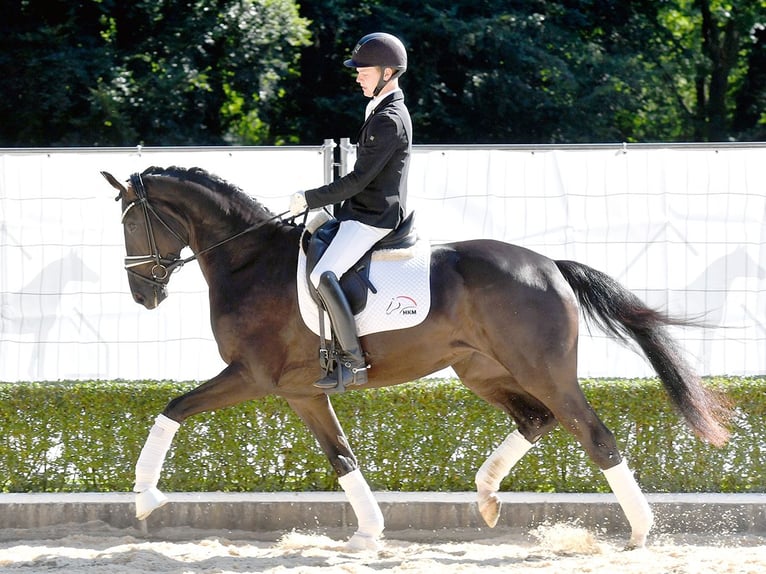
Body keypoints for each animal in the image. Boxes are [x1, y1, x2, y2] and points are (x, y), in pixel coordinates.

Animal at [102, 166, 732, 552]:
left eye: (131, 221)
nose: (141, 294)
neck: (248, 260)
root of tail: (548, 264)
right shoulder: (301, 392)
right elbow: (342, 457)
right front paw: (368, 534)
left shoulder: (252, 376)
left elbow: (174, 408)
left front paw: (145, 497)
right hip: (481, 369)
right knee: (535, 420)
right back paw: (486, 497)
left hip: (542, 371)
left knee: (594, 434)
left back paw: (640, 533)